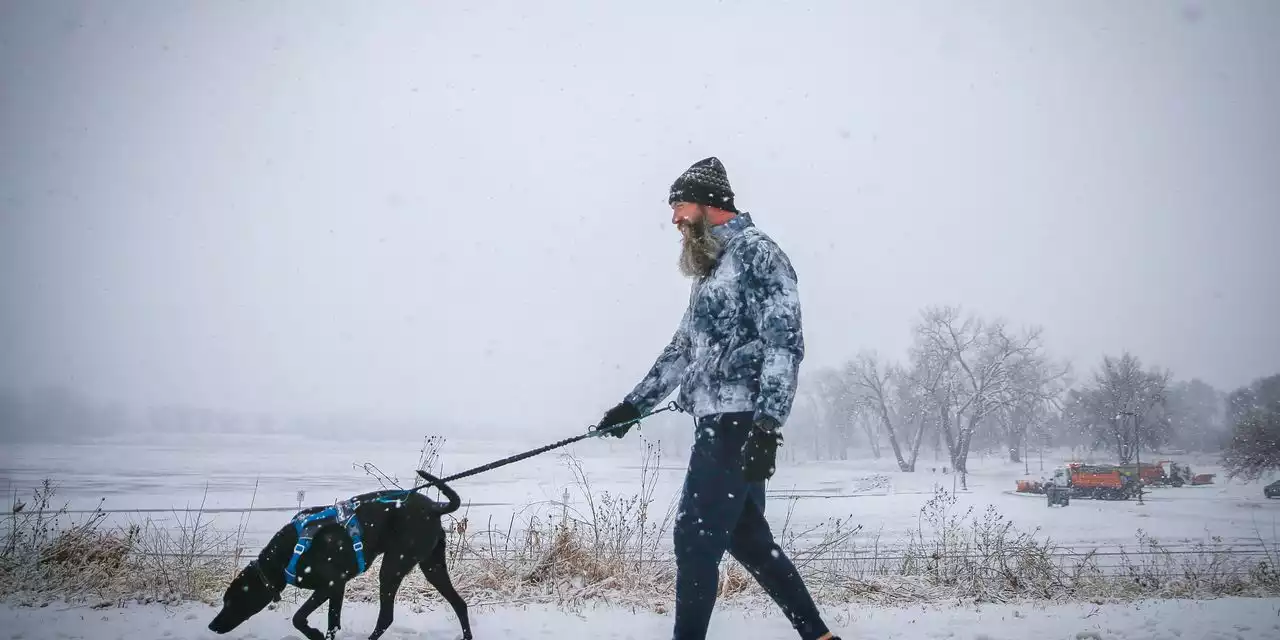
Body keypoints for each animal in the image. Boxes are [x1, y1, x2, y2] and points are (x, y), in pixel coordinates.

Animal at [207, 471, 473, 640]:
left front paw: (313, 634)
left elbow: (298, 618)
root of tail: (435, 507)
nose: (212, 625)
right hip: (433, 566)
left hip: (393, 566)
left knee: (386, 617)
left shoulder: (332, 584)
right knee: (459, 604)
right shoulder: (337, 589)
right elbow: (332, 624)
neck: (284, 556)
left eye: (232, 600)